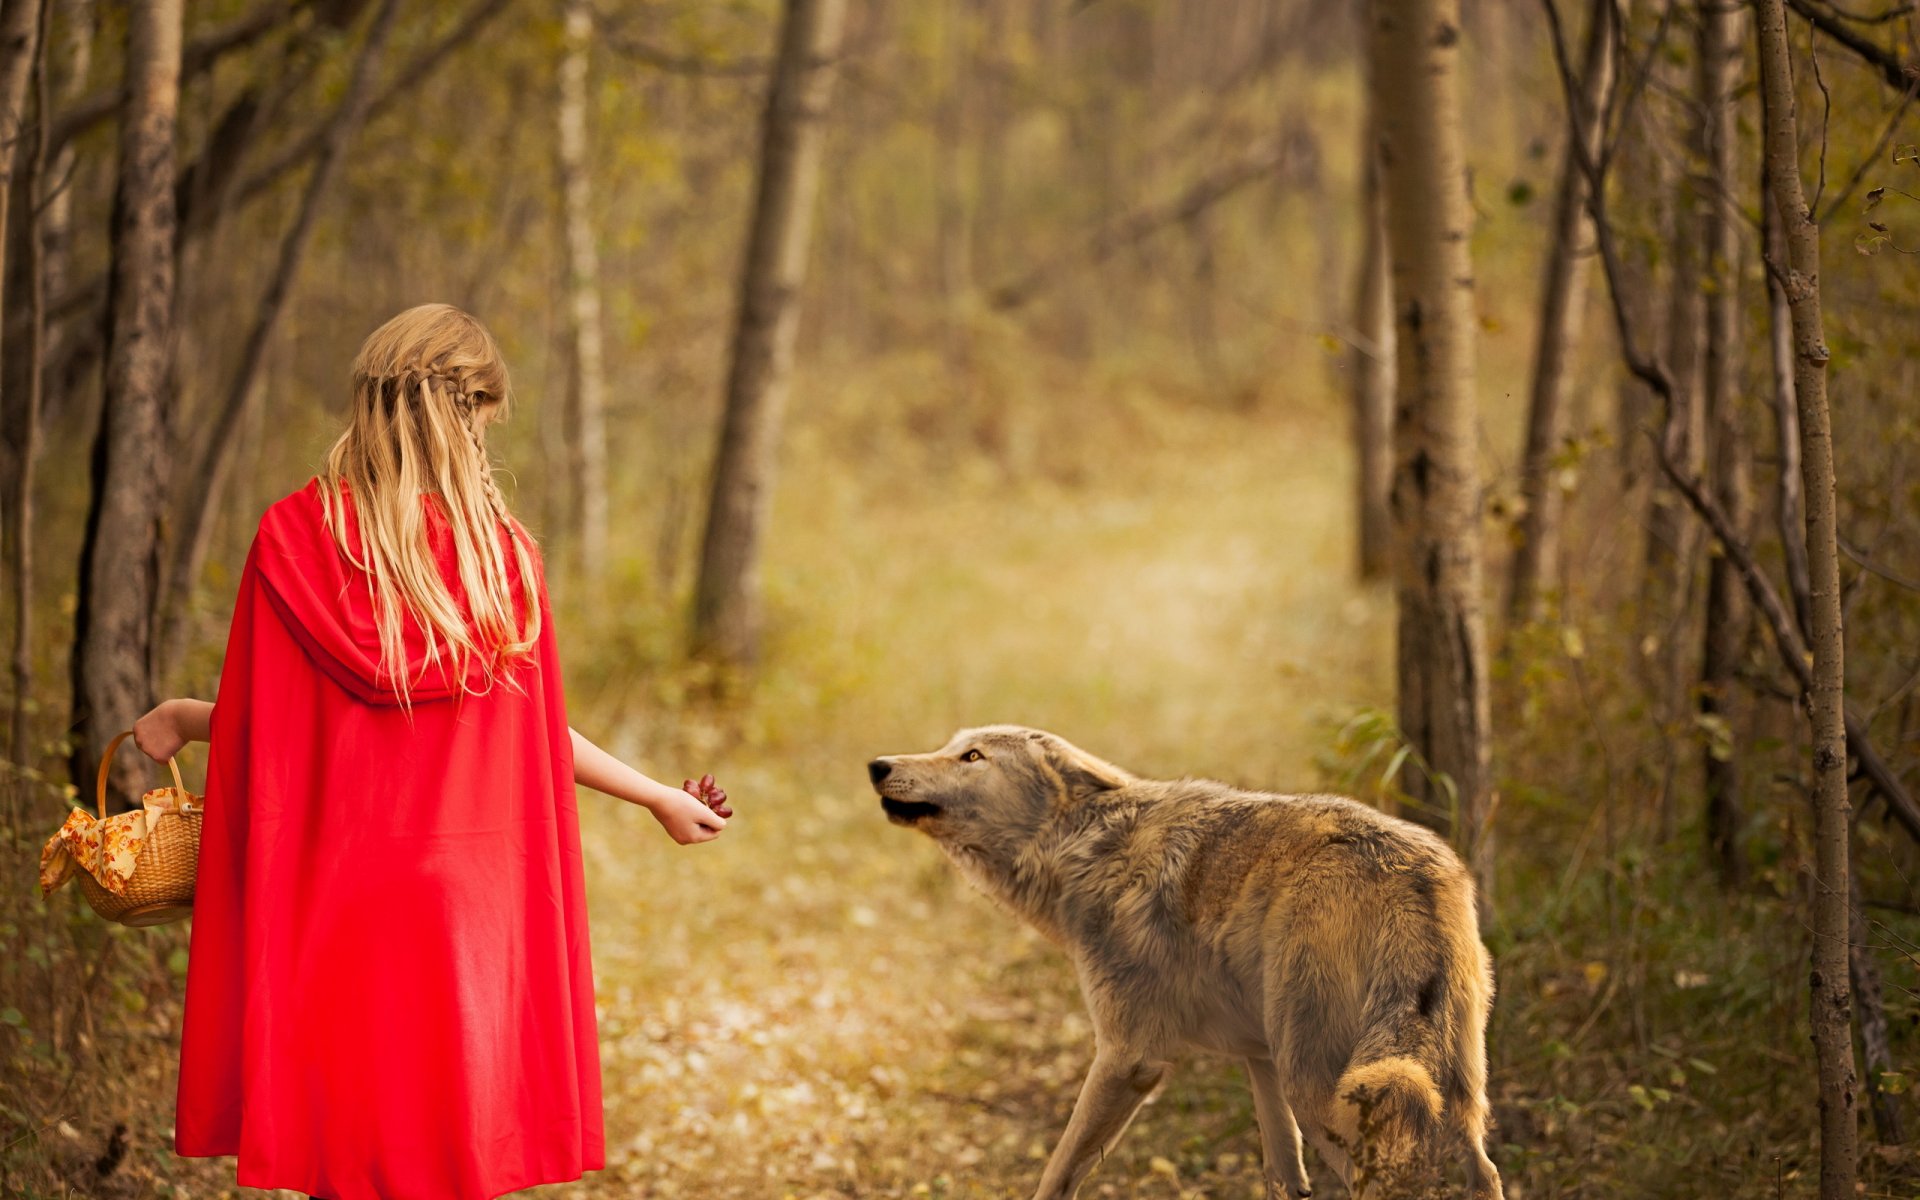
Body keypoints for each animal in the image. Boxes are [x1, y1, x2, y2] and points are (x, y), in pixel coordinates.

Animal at [871, 725, 1497, 1190]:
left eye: (972, 757)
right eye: (951, 746)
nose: (877, 764)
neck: (1087, 852)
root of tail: (1411, 871)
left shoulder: (1129, 1057)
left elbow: (1056, 1174)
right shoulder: (1259, 1058)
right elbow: (1282, 1175)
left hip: (1324, 1091)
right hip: (1446, 1097)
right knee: (1484, 1173)